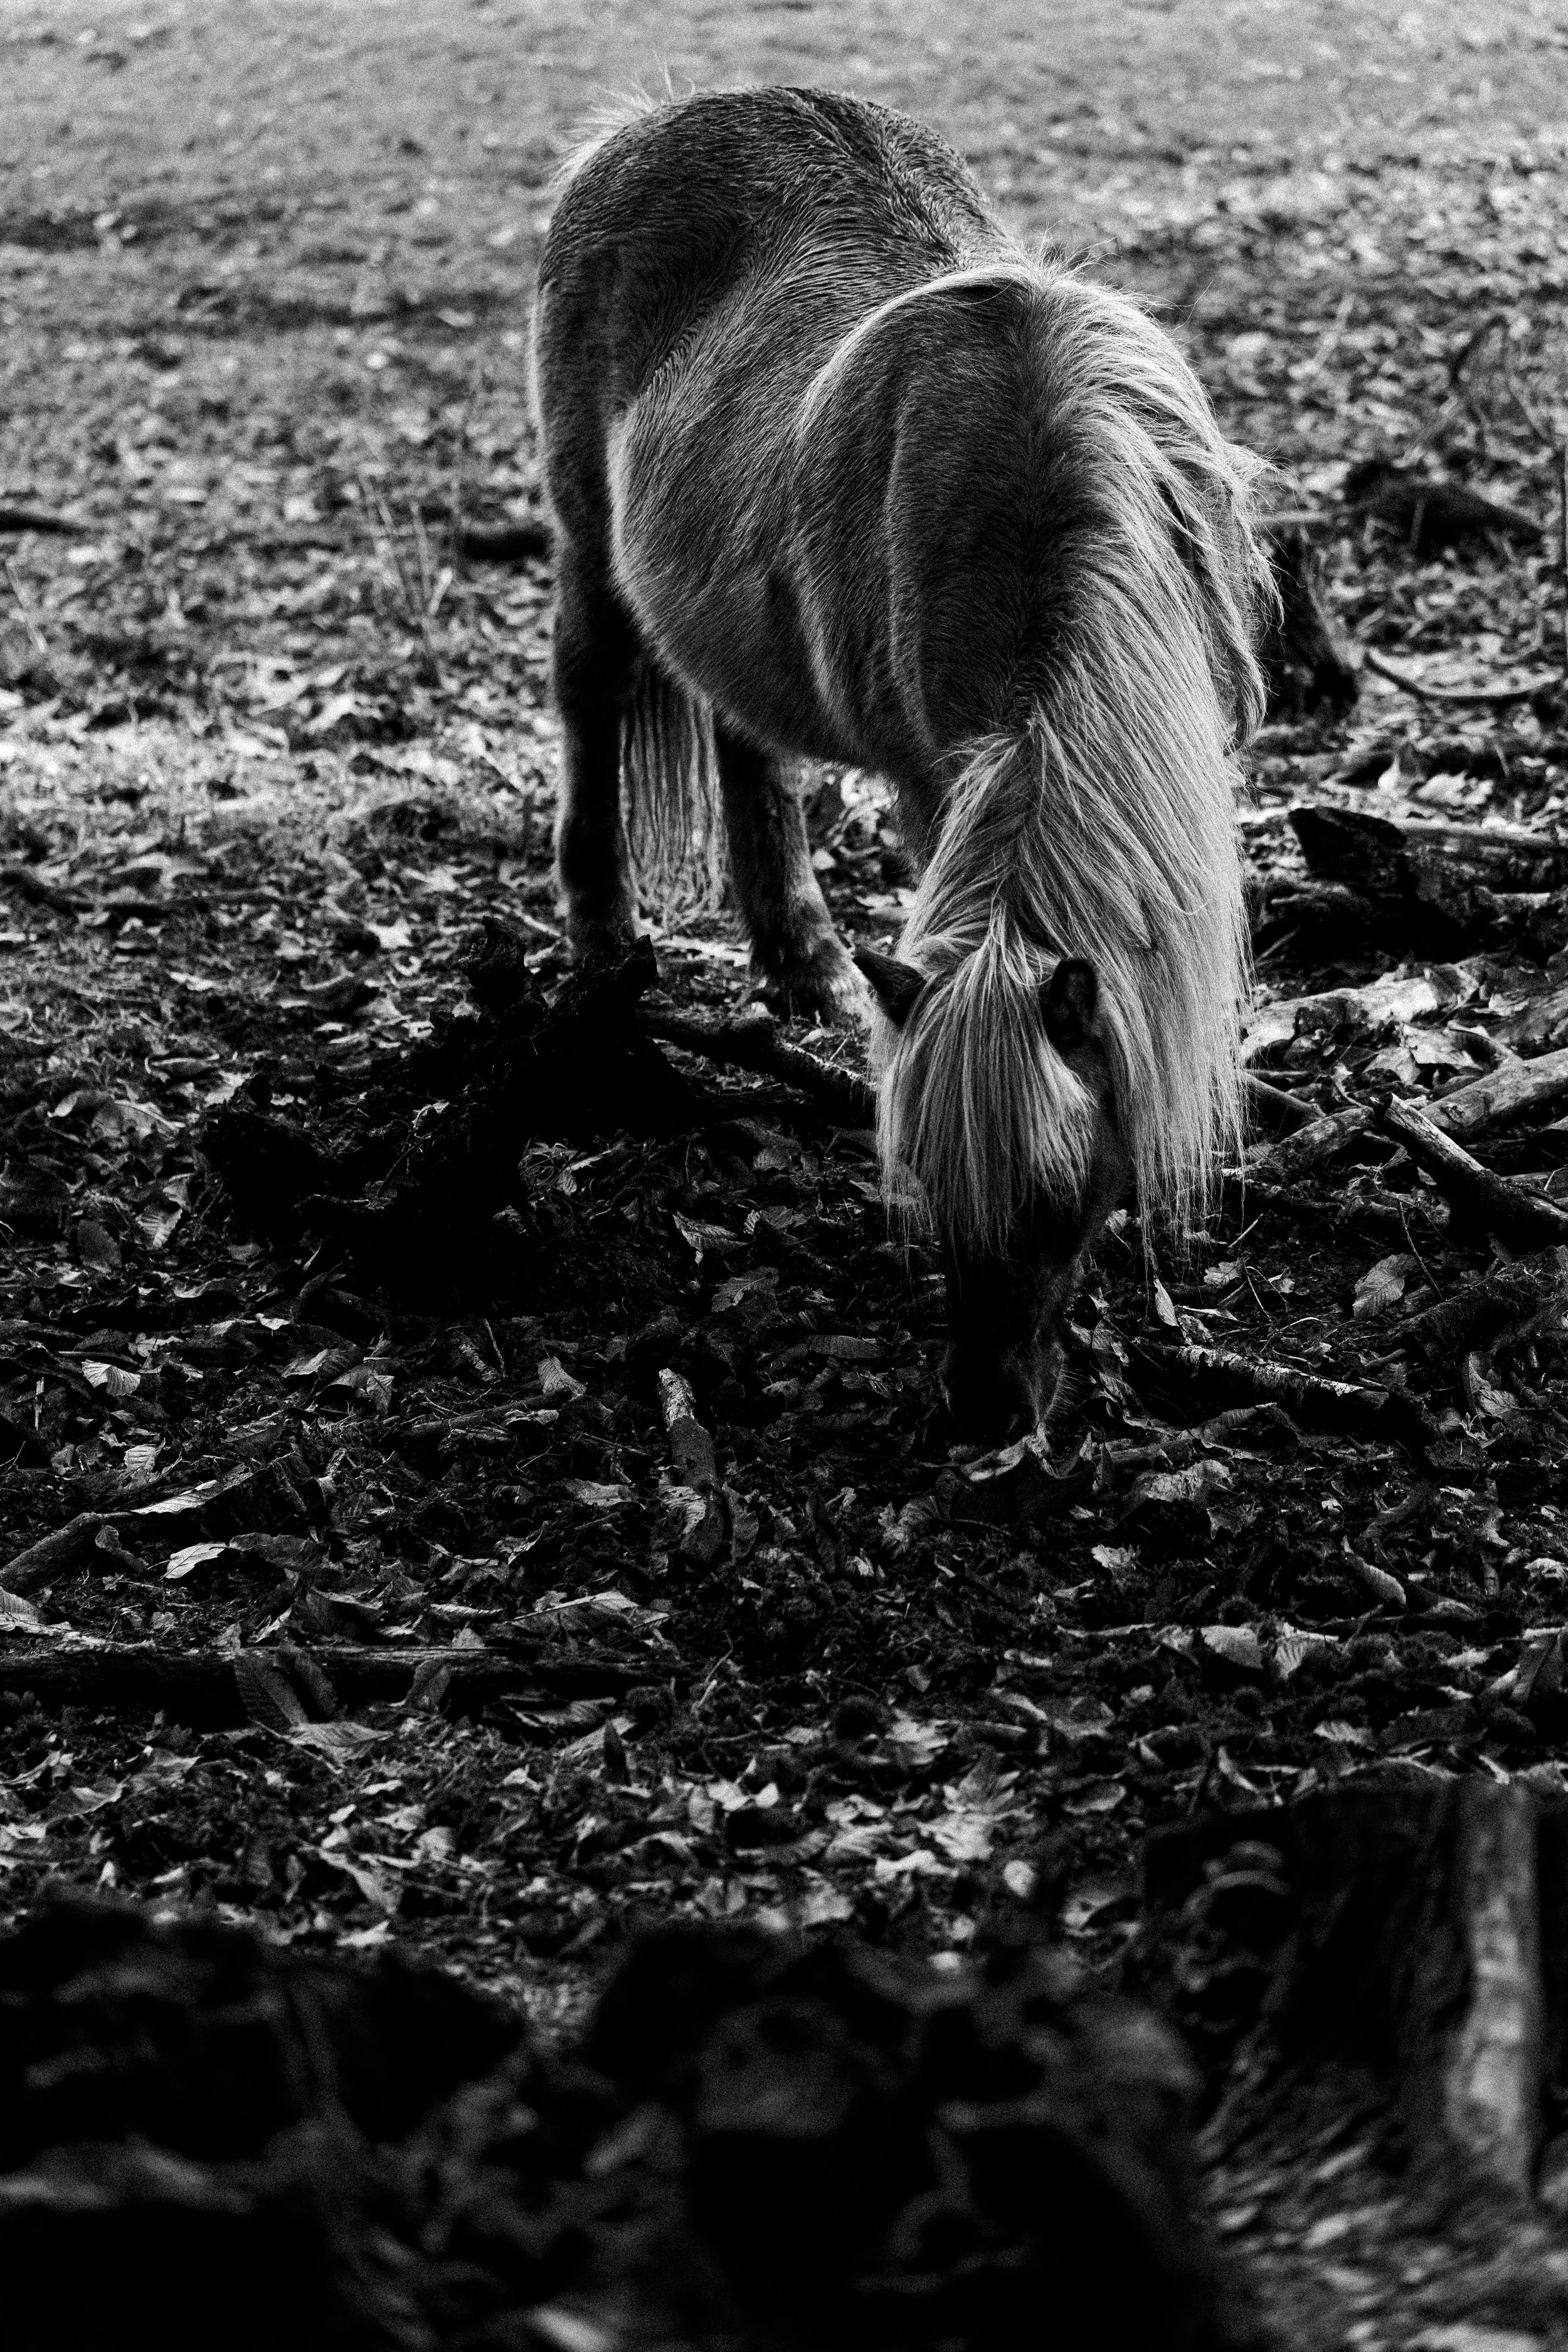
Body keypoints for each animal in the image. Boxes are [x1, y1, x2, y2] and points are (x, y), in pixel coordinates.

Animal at [532, 86, 1272, 1444]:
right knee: (589, 703)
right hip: (585, 550)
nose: (982, 1412)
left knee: (747, 749)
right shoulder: (937, 786)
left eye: (1057, 1198)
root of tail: (639, 126)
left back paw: (808, 965)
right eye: (921, 1176)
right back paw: (606, 944)